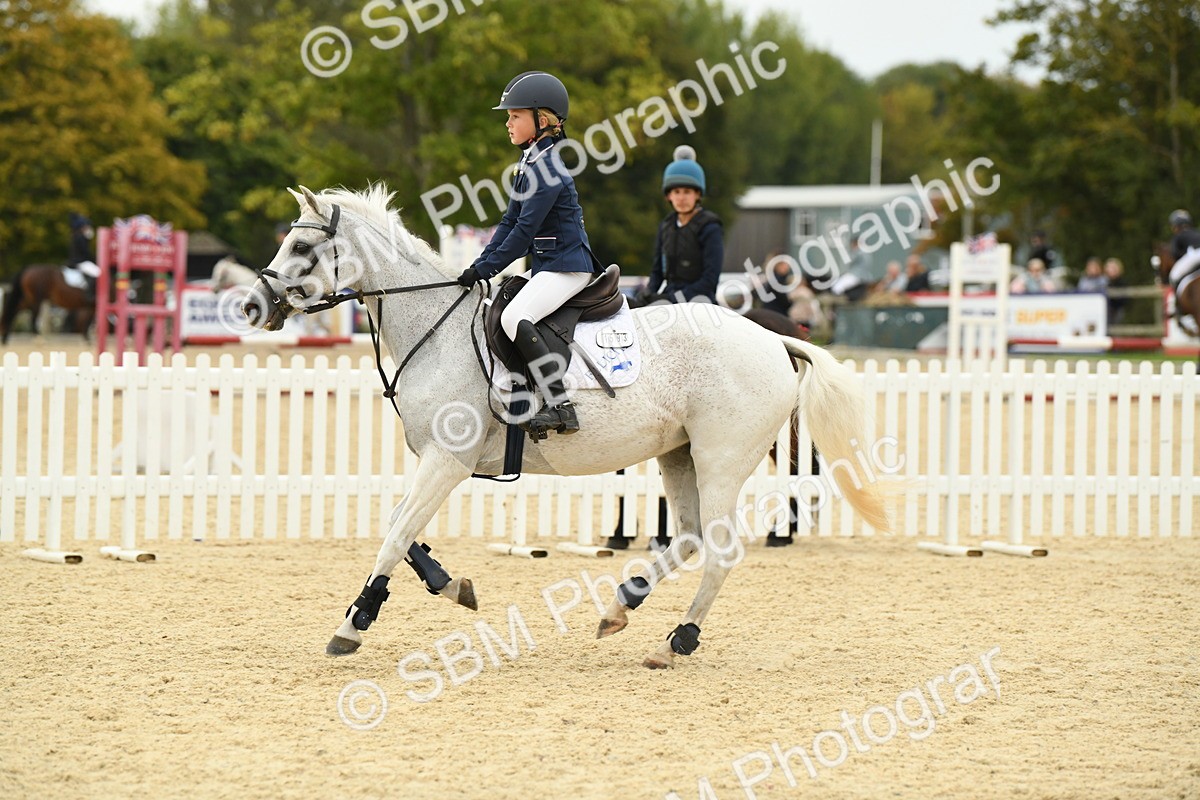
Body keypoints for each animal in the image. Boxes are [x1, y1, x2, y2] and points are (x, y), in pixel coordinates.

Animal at [242, 184, 890, 669]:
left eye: (303, 246)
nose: (252, 307)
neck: (435, 327)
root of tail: (774, 339)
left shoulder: (447, 462)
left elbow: (397, 533)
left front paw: (354, 624)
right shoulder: (433, 461)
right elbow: (398, 527)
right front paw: (451, 585)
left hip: (721, 459)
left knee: (721, 548)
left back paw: (677, 640)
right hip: (679, 455)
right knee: (689, 536)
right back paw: (620, 608)